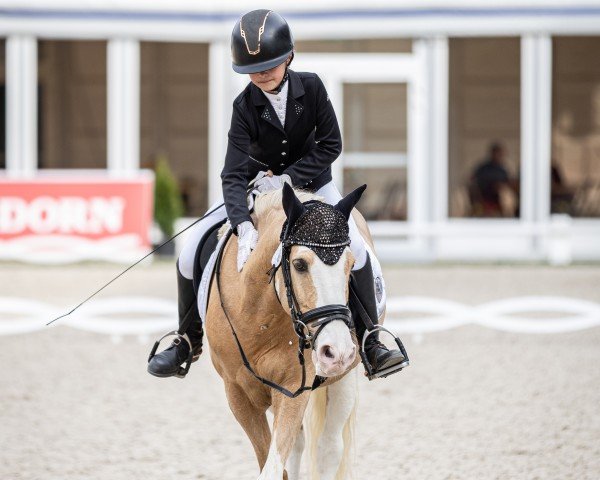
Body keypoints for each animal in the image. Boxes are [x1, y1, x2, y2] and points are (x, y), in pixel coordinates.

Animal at [206, 182, 376, 478]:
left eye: (352, 265)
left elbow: (273, 468)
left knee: (329, 448)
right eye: (299, 264)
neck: (257, 319)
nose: (336, 351)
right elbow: (274, 463)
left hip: (343, 378)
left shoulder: (294, 388)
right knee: (298, 446)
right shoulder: (237, 394)